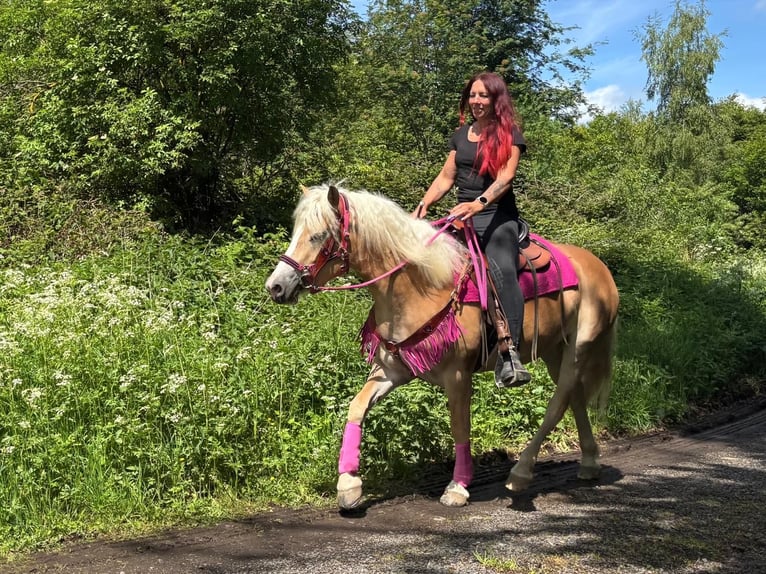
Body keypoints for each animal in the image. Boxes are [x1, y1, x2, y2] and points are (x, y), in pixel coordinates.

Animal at [265, 184, 619, 509]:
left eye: (318, 236)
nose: (276, 286)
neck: (420, 286)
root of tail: (599, 268)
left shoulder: (457, 375)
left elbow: (460, 426)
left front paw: (458, 486)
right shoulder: (392, 370)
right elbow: (357, 407)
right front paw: (349, 484)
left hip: (578, 347)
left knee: (559, 402)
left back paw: (520, 473)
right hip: (554, 350)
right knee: (574, 397)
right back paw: (589, 462)